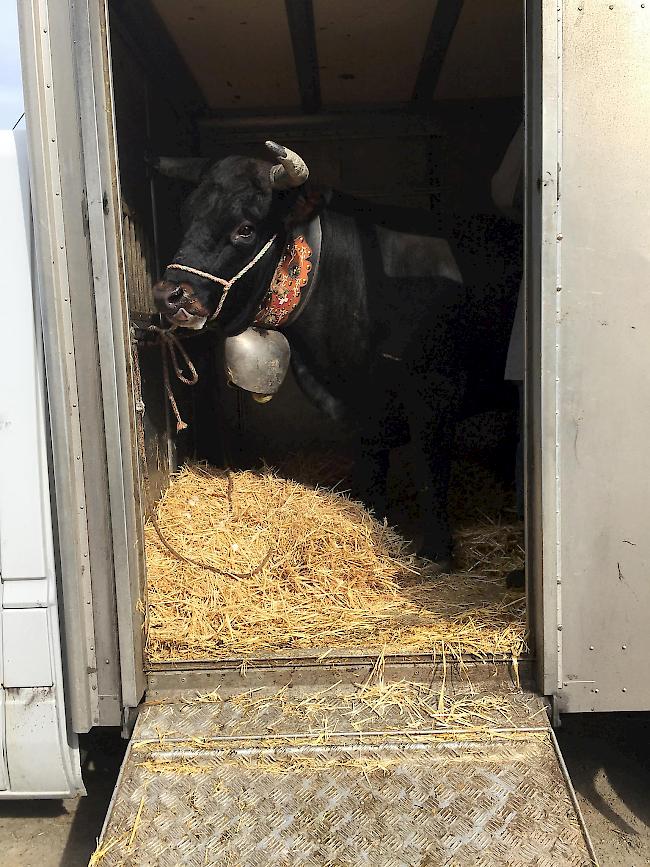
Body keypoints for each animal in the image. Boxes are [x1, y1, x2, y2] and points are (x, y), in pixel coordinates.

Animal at [153, 142, 520, 568]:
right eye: (187, 215)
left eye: (244, 228)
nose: (169, 295)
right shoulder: (361, 410)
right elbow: (371, 470)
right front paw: (374, 521)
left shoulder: (435, 392)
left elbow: (431, 474)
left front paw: (437, 554)